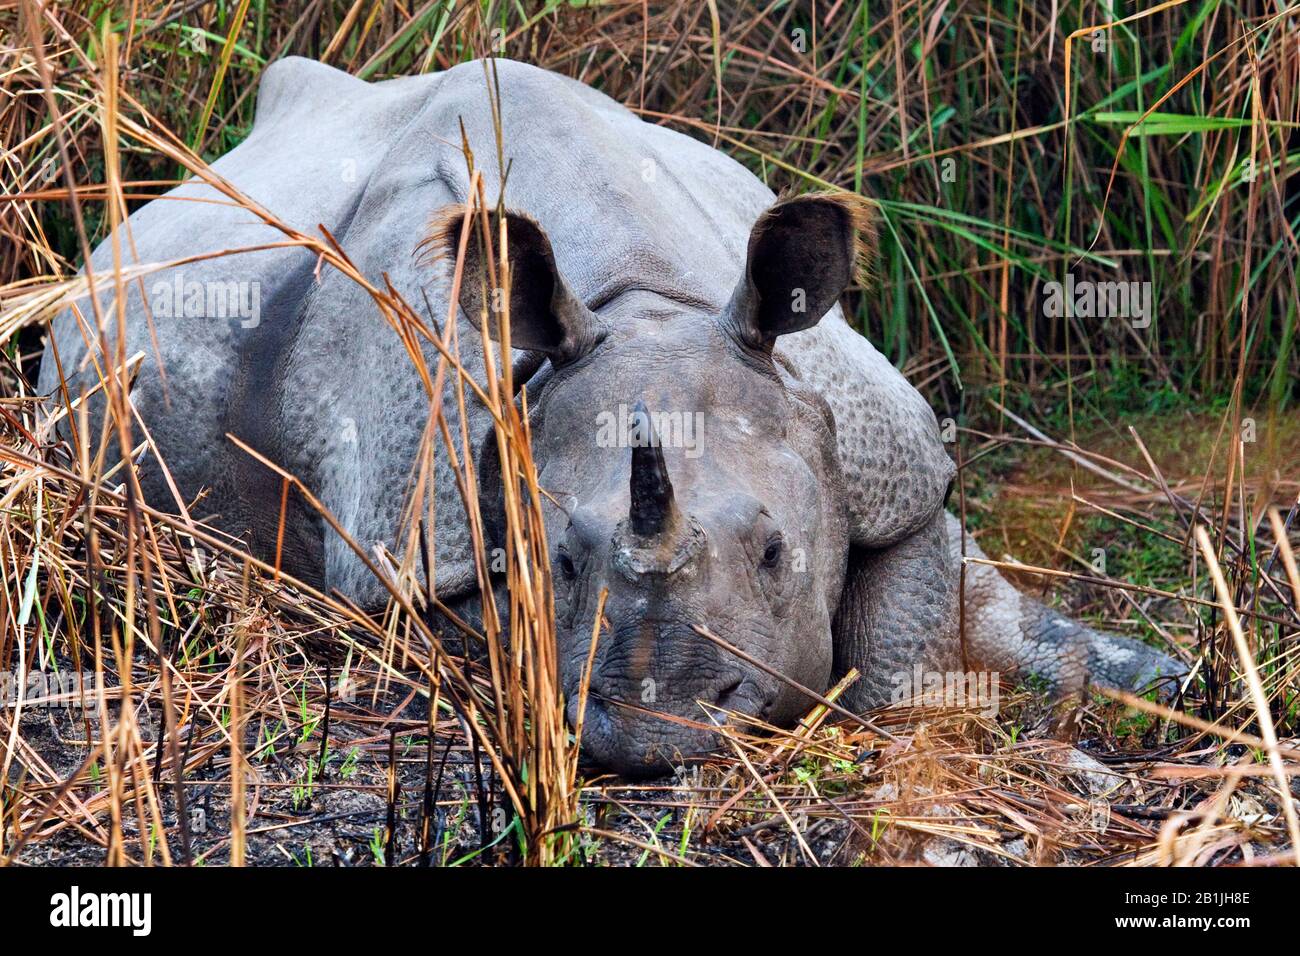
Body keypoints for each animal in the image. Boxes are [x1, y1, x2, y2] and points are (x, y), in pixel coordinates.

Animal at [38, 57, 1183, 776]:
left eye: (777, 554)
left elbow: (909, 632)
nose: (654, 733)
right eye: (556, 560)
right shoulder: (411, 537)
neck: (647, 300)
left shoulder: (883, 455)